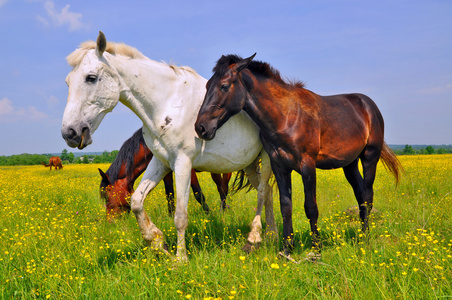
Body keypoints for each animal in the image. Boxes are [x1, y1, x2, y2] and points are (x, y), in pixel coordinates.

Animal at [100, 127, 233, 219]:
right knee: (221, 187)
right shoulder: (166, 170)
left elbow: (198, 194)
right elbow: (169, 194)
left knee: (224, 188)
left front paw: (209, 215)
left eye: (107, 196)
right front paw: (170, 217)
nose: (110, 222)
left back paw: (223, 211)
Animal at [196, 53, 400, 258]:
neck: (286, 116)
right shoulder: (280, 166)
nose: (201, 127)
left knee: (367, 195)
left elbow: (311, 207)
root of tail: (368, 105)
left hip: (369, 157)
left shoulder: (307, 166)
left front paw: (316, 249)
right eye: (207, 86)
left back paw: (365, 238)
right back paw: (360, 235)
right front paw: (287, 249)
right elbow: (286, 206)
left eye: (224, 86)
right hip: (349, 164)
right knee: (360, 195)